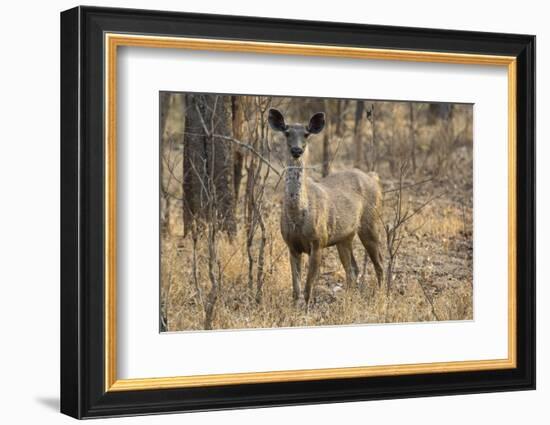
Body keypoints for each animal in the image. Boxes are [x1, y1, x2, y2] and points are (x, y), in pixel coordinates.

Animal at [270, 107, 386, 308]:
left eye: (306, 134)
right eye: (286, 132)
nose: (296, 150)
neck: (298, 217)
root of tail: (374, 177)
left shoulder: (318, 242)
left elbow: (308, 289)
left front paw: (307, 310)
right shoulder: (291, 245)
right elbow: (295, 290)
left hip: (370, 222)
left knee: (378, 263)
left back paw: (381, 297)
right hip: (345, 237)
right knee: (353, 269)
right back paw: (349, 300)